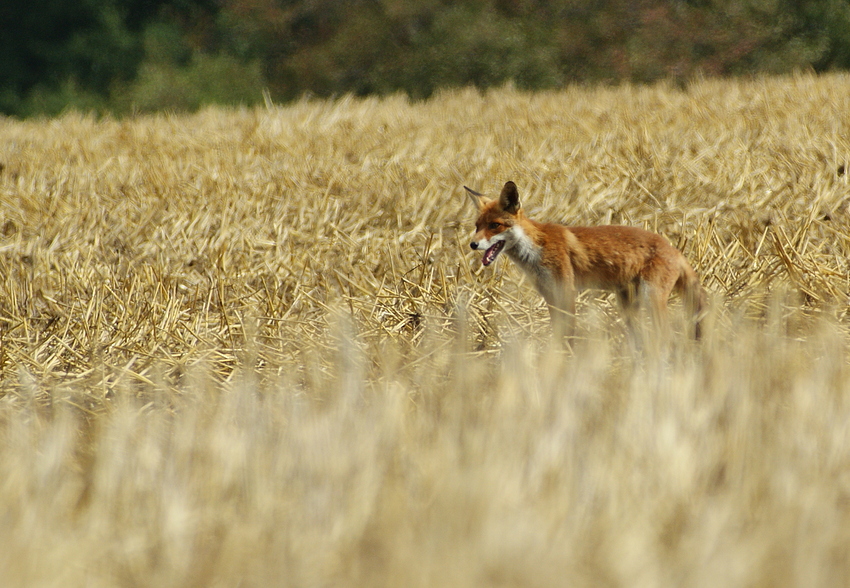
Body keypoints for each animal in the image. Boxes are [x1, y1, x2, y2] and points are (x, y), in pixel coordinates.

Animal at [464, 180, 704, 340]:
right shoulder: (550, 294)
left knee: (666, 334)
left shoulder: (565, 290)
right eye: (477, 226)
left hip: (650, 298)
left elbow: (568, 332)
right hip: (628, 306)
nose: (473, 245)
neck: (536, 248)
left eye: (494, 225)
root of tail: (674, 250)